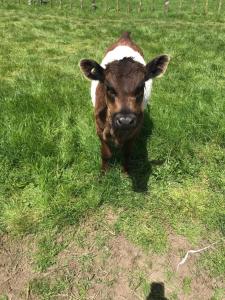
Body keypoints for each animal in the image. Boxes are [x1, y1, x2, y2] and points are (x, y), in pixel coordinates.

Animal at [80, 31, 170, 172]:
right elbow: (105, 154)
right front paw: (104, 172)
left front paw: (126, 172)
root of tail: (125, 36)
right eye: (108, 88)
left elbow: (127, 153)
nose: (125, 120)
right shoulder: (99, 128)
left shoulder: (135, 129)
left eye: (141, 87)